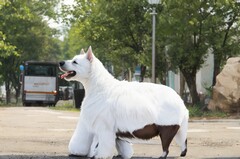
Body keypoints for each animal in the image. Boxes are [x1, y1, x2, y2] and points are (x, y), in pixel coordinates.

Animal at [59, 46, 188, 158]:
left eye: (75, 62)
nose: (60, 62)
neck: (99, 88)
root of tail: (180, 101)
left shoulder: (105, 126)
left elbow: (105, 144)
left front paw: (101, 156)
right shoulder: (115, 130)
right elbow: (120, 145)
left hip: (167, 126)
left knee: (166, 147)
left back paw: (162, 155)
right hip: (175, 127)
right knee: (182, 141)